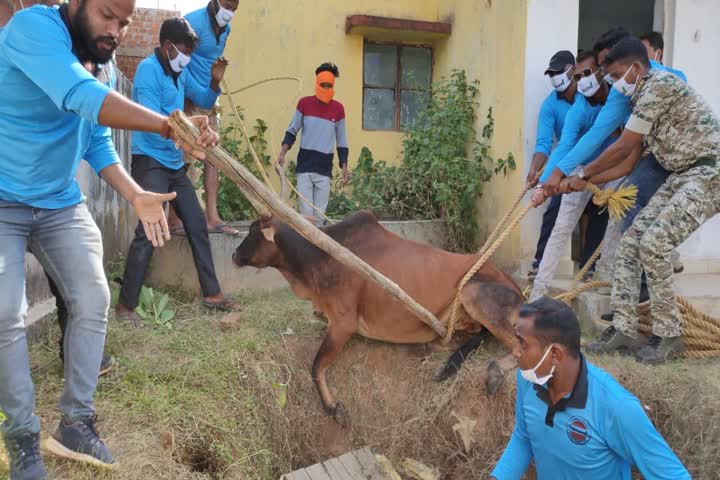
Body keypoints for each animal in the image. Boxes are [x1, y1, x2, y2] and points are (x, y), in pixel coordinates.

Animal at [235, 210, 524, 424]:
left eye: (252, 231)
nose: (234, 254)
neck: (316, 257)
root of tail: (516, 287)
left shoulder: (344, 322)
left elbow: (316, 366)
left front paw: (332, 407)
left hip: (473, 292)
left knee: (519, 348)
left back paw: (495, 372)